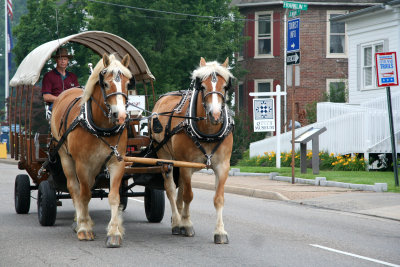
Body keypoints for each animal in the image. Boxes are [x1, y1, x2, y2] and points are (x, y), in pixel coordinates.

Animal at [50, 53, 132, 248]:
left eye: (127, 84)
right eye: (106, 84)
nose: (121, 116)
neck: (102, 127)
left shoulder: (117, 162)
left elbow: (114, 196)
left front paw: (114, 232)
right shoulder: (83, 164)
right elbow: (84, 194)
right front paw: (84, 227)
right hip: (65, 156)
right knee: (74, 188)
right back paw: (79, 220)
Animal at [150, 57, 234, 245]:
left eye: (225, 86)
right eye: (202, 86)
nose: (215, 115)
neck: (208, 131)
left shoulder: (222, 166)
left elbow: (219, 198)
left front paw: (220, 231)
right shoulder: (186, 165)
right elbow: (188, 195)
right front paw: (187, 224)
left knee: (180, 190)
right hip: (166, 158)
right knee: (171, 190)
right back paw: (176, 222)